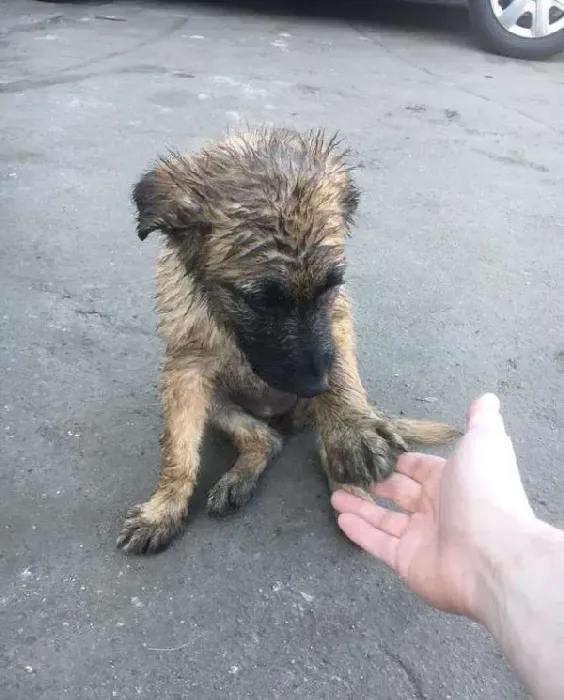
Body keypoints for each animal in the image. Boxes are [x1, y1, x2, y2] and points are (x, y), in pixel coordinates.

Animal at [117, 124, 456, 552]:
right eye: (260, 300)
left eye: (330, 286)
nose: (314, 386)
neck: (228, 321)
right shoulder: (186, 368)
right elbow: (178, 449)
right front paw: (163, 509)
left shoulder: (335, 320)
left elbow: (342, 372)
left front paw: (352, 431)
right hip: (220, 400)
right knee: (264, 439)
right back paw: (241, 476)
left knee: (322, 445)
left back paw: (349, 481)